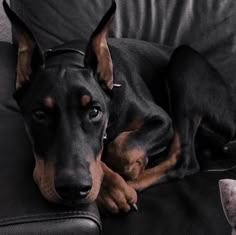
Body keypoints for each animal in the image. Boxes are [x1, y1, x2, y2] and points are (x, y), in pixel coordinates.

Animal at [4, 0, 233, 213]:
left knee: (183, 160)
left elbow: (119, 147)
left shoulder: (162, 120)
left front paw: (123, 178)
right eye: (39, 114)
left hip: (184, 64)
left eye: (94, 111)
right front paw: (109, 188)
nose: (72, 188)